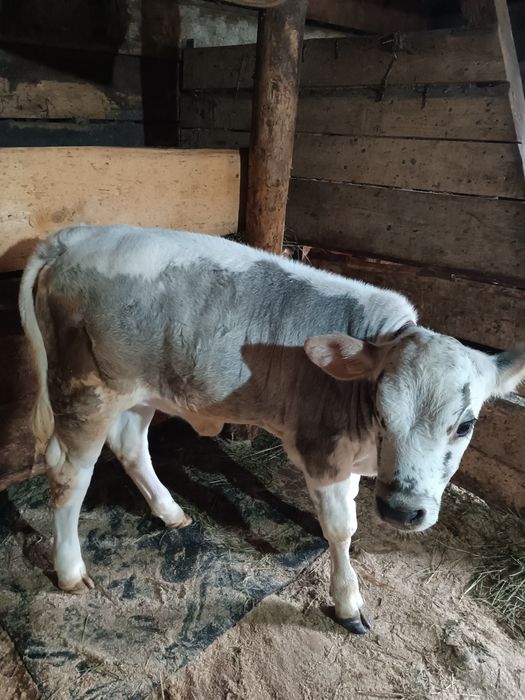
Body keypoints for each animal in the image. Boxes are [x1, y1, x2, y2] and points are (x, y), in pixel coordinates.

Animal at [19, 225, 525, 634]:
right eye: (383, 413)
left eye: (465, 424)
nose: (402, 510)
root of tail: (74, 236)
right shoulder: (321, 449)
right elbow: (341, 528)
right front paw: (348, 603)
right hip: (85, 389)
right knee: (68, 472)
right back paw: (69, 569)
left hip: (143, 390)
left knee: (130, 445)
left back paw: (170, 512)